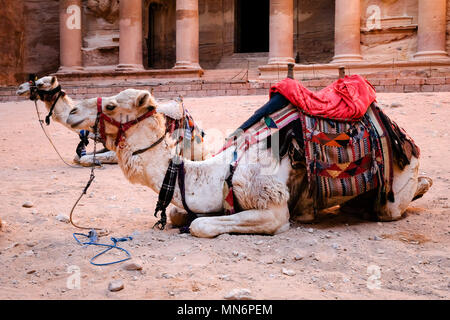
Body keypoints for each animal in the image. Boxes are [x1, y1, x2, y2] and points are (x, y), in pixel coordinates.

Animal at [67, 87, 432, 238]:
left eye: (111, 105)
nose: (70, 112)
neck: (216, 172)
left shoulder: (271, 206)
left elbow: (199, 226)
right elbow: (177, 213)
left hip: (394, 192)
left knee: (393, 204)